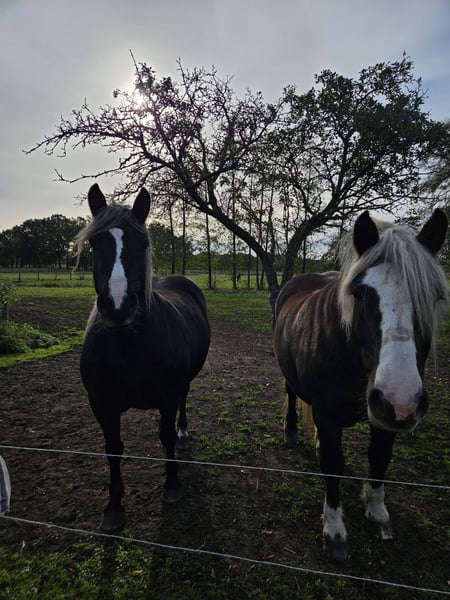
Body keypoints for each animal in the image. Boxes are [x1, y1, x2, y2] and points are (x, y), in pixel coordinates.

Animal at [75, 184, 210, 532]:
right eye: (95, 243)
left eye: (144, 243)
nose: (117, 306)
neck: (127, 348)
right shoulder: (102, 404)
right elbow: (113, 450)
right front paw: (113, 506)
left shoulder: (166, 396)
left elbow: (165, 435)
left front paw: (172, 485)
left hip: (183, 383)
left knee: (183, 402)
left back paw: (184, 433)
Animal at [272, 209, 448, 562]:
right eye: (360, 293)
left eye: (434, 296)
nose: (402, 397)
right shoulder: (328, 414)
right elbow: (332, 464)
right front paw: (335, 530)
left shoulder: (385, 414)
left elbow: (379, 457)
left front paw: (377, 510)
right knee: (291, 394)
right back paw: (292, 432)